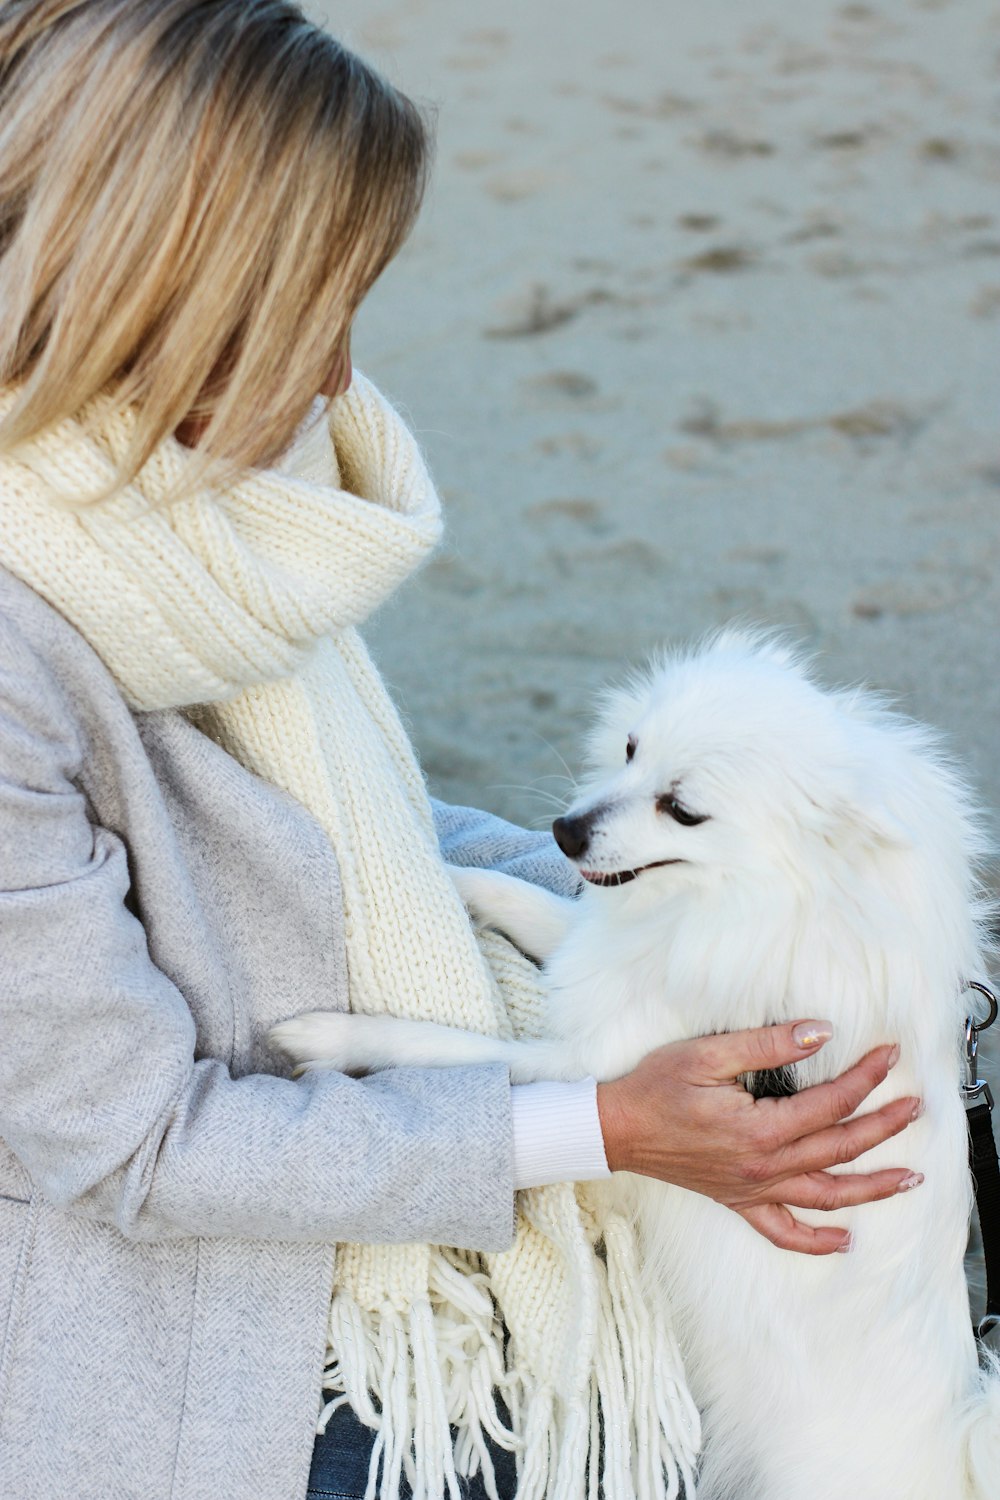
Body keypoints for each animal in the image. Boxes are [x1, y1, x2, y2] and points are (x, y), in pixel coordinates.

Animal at [271, 636, 1000, 1500]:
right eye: (628, 749)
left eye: (681, 810)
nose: (564, 830)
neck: (755, 904)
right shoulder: (611, 961)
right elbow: (531, 904)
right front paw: (448, 876)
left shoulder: (593, 1056)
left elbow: (442, 1046)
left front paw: (329, 1035)